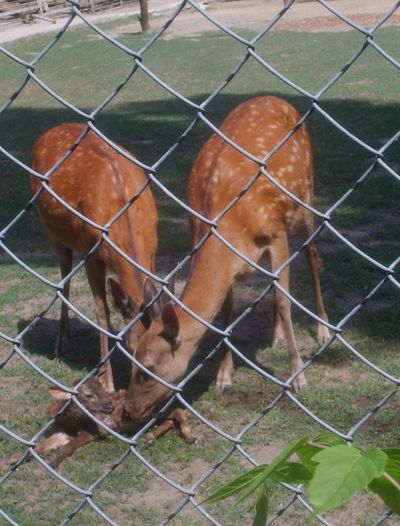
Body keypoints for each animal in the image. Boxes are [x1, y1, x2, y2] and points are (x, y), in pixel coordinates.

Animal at [30, 126, 158, 394]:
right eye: (133, 346)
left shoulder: (153, 251)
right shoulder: (91, 253)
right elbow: (102, 313)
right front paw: (106, 381)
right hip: (50, 230)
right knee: (64, 274)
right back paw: (60, 342)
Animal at [119, 96, 332, 428]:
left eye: (148, 369)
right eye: (131, 363)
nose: (127, 411)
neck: (228, 227)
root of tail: (277, 98)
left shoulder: (276, 235)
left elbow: (284, 301)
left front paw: (298, 376)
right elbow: (228, 311)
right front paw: (224, 377)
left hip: (305, 197)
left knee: (311, 253)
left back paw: (322, 327)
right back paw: (275, 335)